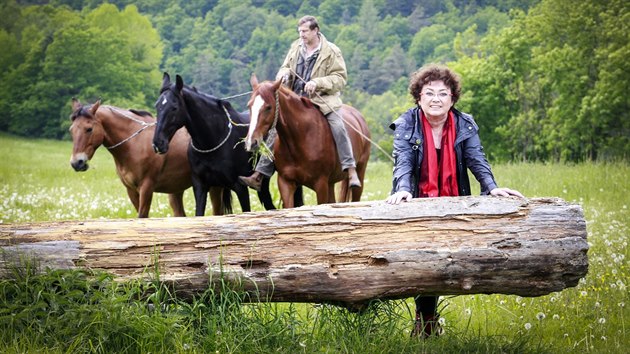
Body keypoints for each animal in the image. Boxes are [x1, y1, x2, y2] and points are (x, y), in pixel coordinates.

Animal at [68, 98, 201, 217]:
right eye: (71, 130)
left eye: (89, 129)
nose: (77, 163)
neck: (134, 143)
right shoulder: (131, 190)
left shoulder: (146, 188)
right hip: (176, 190)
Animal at [152, 73, 278, 214]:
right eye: (157, 106)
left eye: (174, 108)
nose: (158, 143)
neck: (211, 142)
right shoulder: (200, 187)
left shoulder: (241, 188)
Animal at [242, 76, 370, 207]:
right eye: (249, 106)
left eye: (268, 107)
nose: (251, 142)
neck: (300, 137)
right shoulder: (286, 183)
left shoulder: (321, 184)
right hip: (330, 183)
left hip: (359, 172)